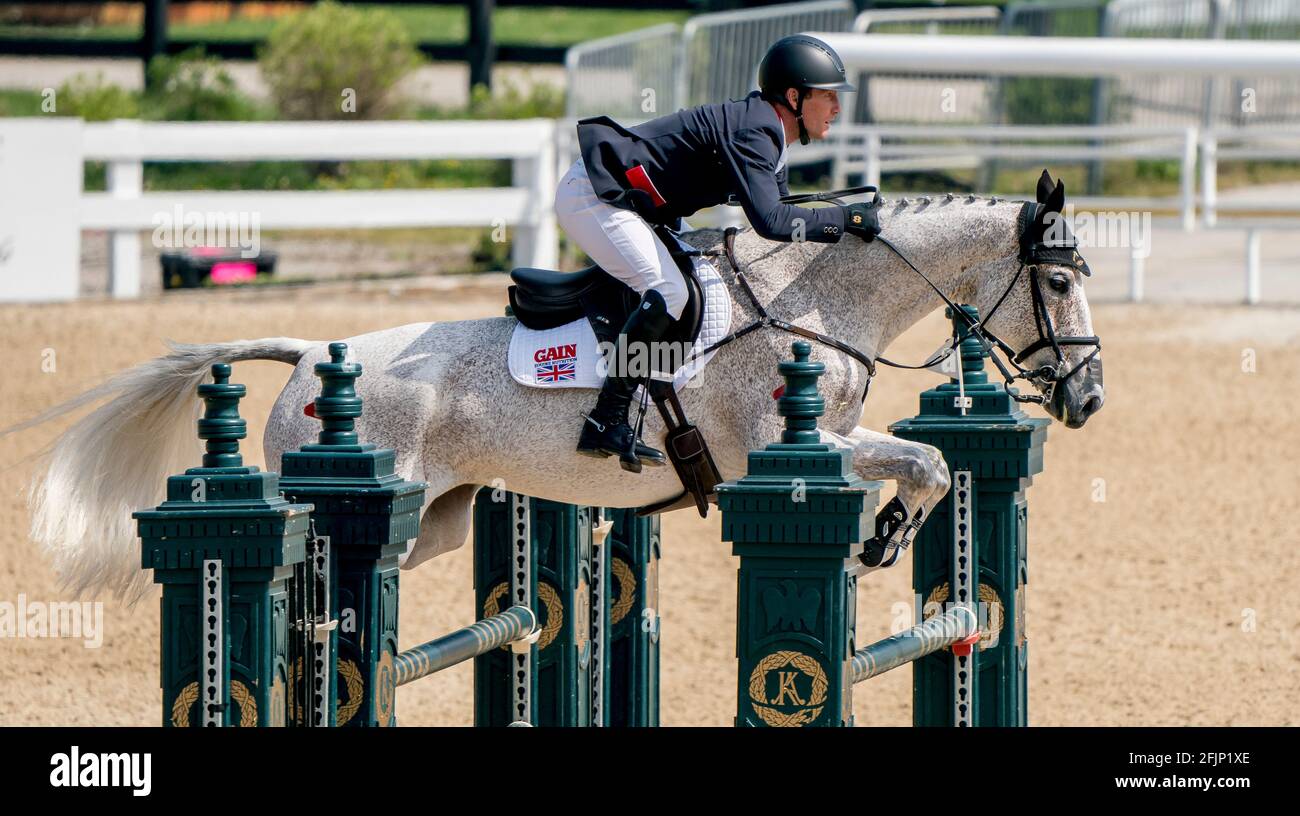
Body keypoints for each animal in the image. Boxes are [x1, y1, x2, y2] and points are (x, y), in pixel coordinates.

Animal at [15, 171, 1102, 600]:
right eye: (1055, 283)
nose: (1085, 400)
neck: (813, 298)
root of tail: (308, 356)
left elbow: (924, 465)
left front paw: (884, 537)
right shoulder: (791, 450)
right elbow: (923, 460)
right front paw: (885, 534)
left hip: (433, 521)